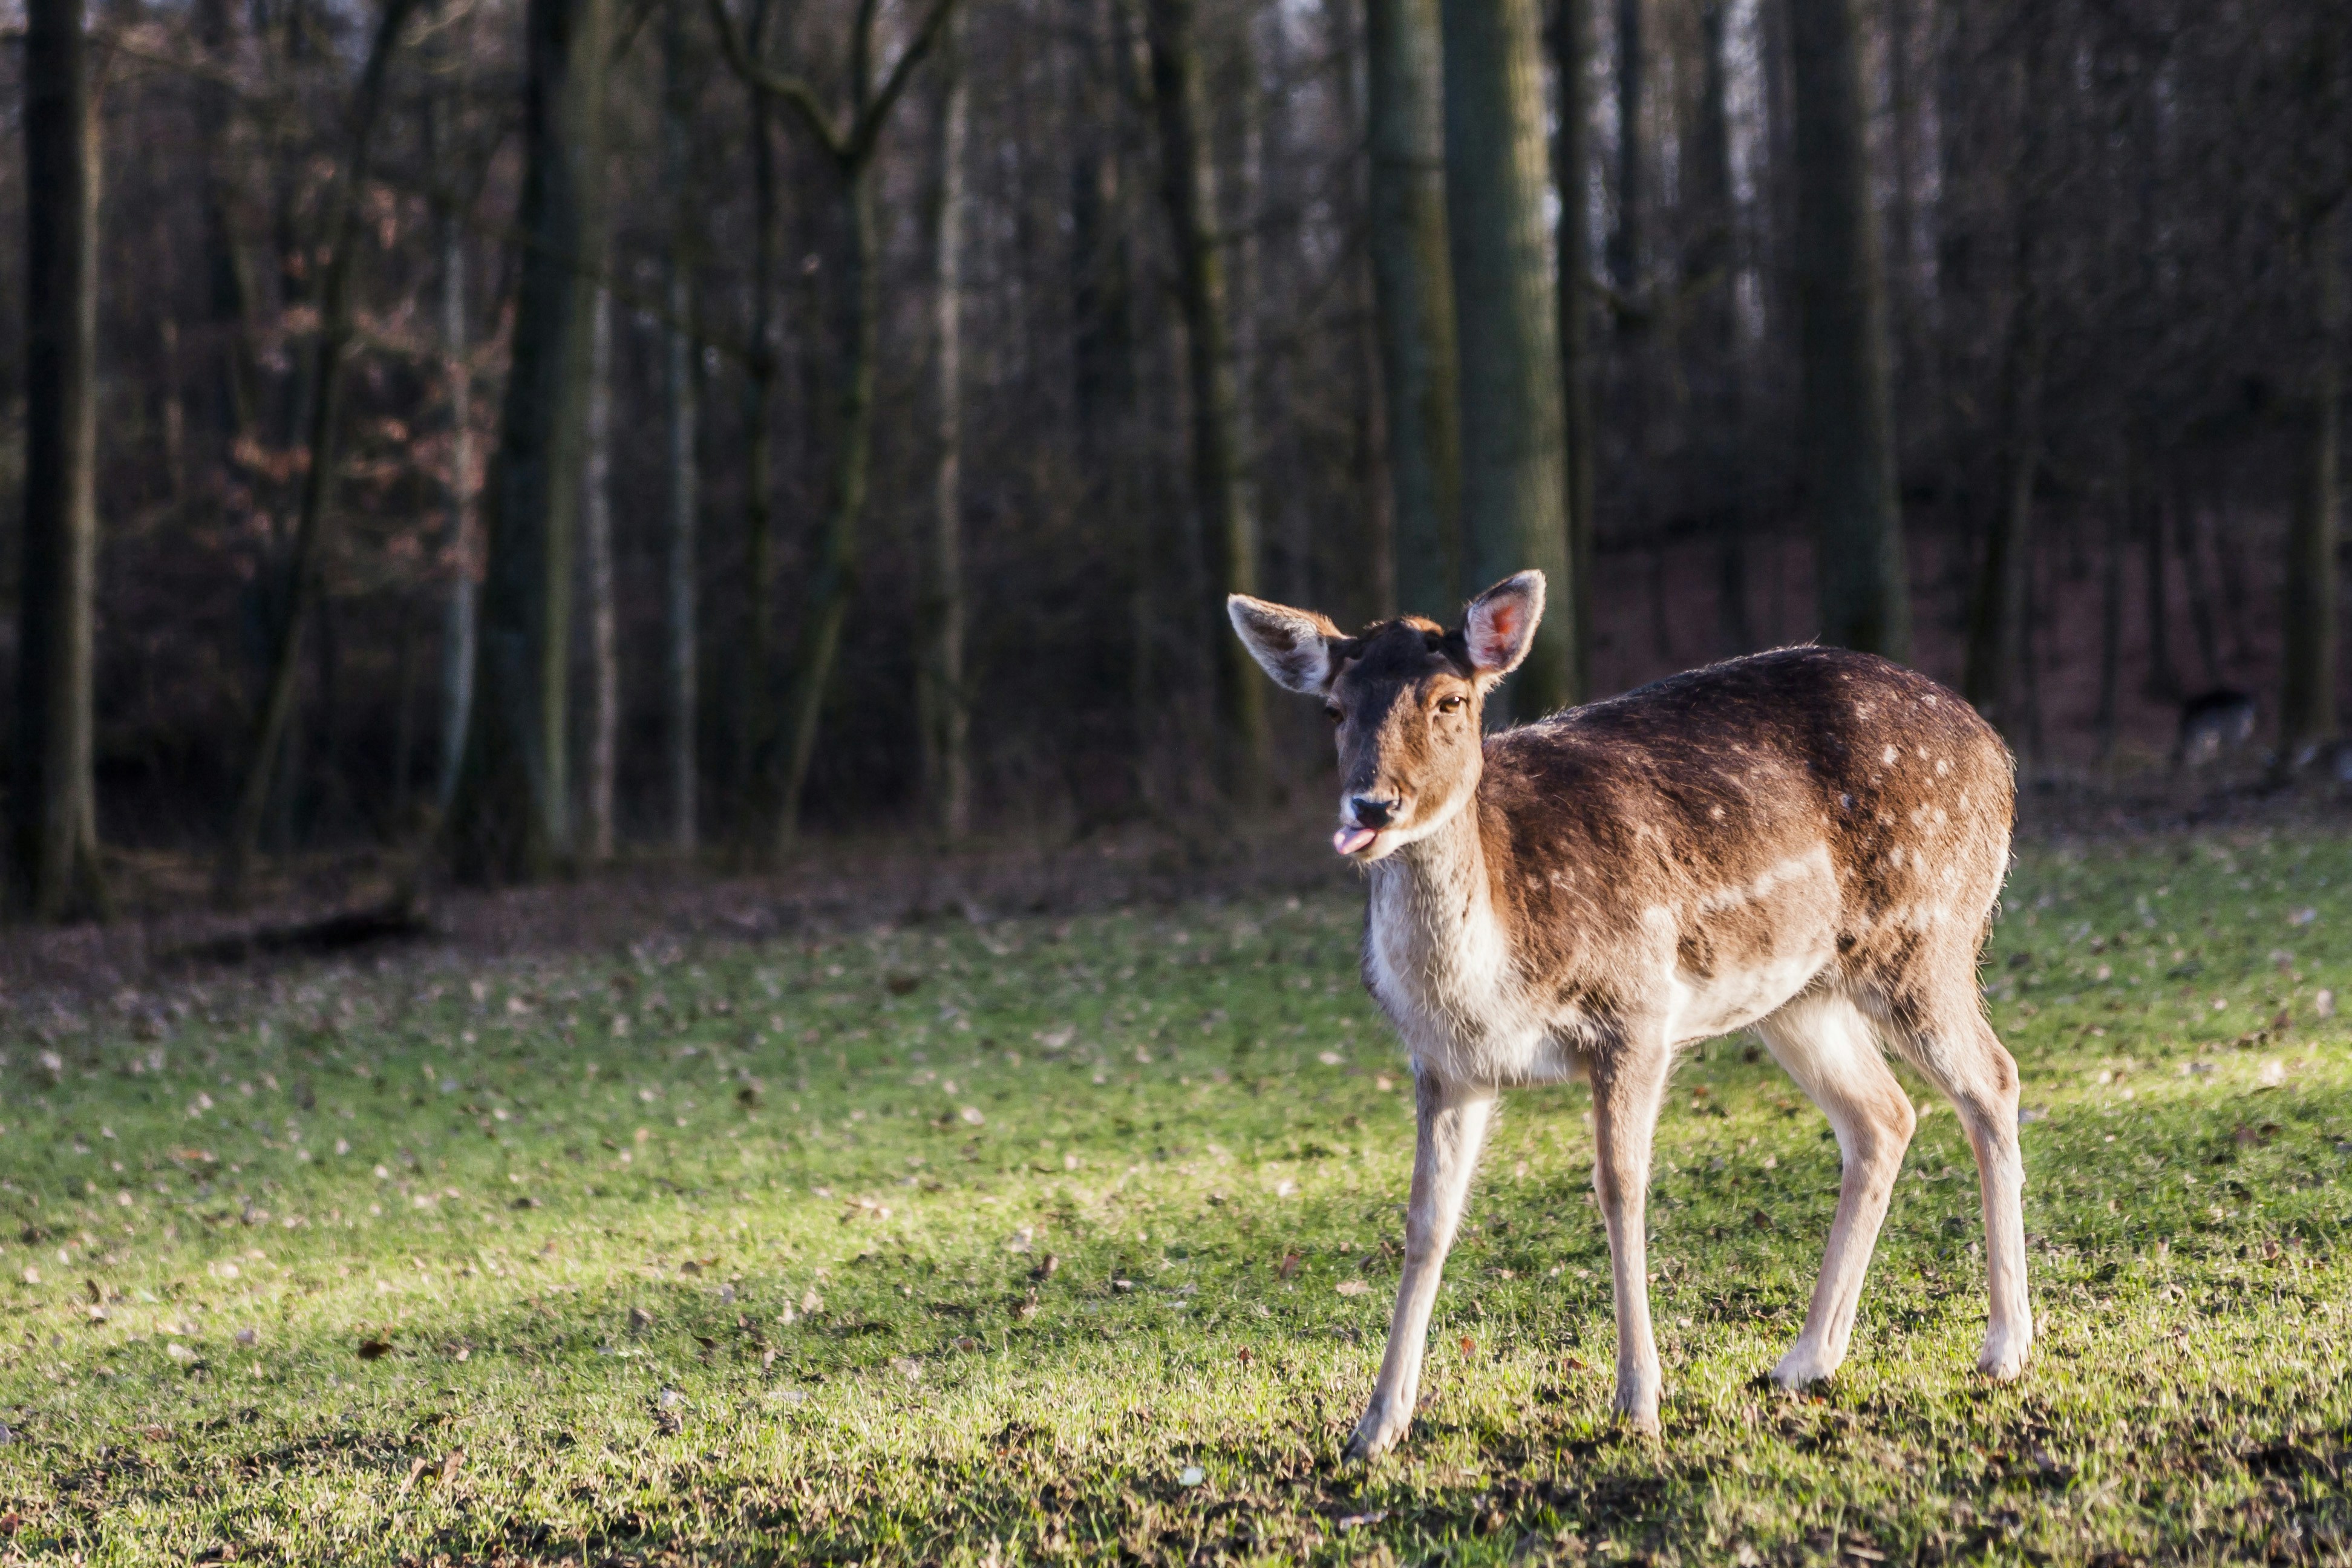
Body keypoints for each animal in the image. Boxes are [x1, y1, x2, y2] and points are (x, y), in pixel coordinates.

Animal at [1228, 571, 2032, 1455]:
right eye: (1334, 709)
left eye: (1449, 701)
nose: (1372, 807)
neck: (1491, 973)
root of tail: (1998, 752)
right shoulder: (1444, 1063)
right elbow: (1426, 1220)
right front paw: (1374, 1427)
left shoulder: (1636, 1009)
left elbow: (1620, 1187)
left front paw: (1638, 1401)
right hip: (1798, 993)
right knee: (1883, 1115)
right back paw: (1805, 1360)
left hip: (1929, 932)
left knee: (1994, 1077)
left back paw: (2004, 1347)